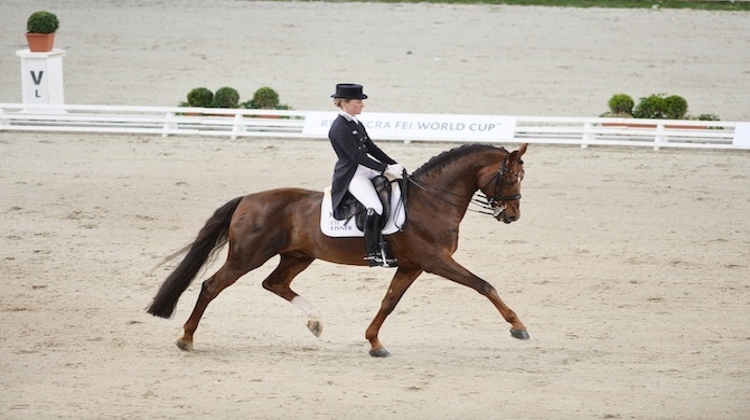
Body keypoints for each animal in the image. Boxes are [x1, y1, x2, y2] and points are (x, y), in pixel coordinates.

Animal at [147, 143, 532, 356]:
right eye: (511, 177)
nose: (512, 215)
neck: (432, 200)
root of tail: (248, 198)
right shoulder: (436, 260)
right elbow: (484, 285)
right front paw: (518, 327)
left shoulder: (412, 265)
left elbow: (388, 302)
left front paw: (374, 343)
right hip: (247, 257)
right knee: (211, 286)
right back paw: (186, 339)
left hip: (298, 256)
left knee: (275, 284)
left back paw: (316, 322)